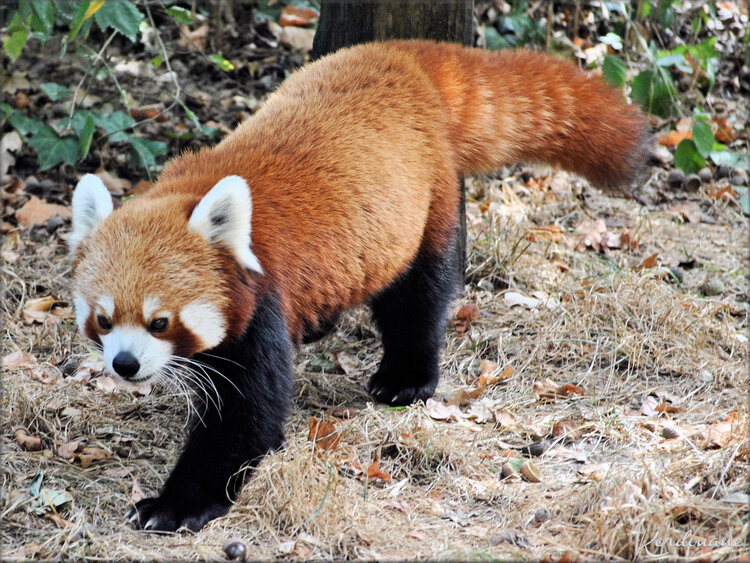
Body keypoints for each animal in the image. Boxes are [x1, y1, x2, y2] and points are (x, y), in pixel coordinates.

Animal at [67, 40, 648, 532]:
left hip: (426, 205)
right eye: (104, 320)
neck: (189, 192)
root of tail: (406, 58)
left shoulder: (262, 301)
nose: (125, 365)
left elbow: (245, 421)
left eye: (160, 321)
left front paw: (173, 506)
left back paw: (406, 377)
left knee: (417, 299)